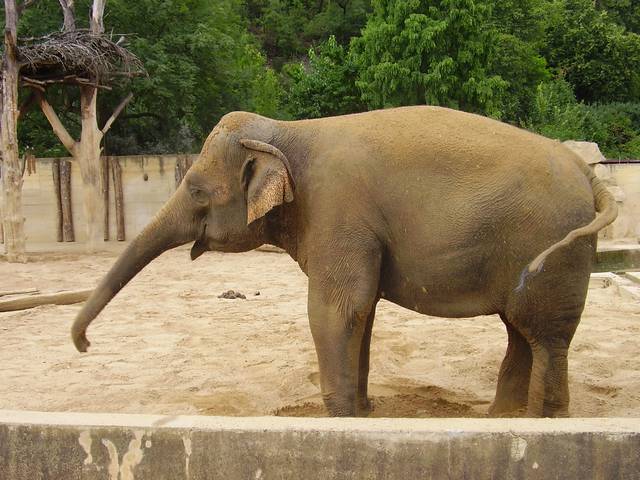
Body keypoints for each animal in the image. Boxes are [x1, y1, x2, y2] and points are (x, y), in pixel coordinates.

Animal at [70, 107, 616, 418]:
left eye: (198, 191)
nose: (84, 345)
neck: (286, 133)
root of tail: (590, 174)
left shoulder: (338, 211)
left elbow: (334, 311)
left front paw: (339, 419)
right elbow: (363, 312)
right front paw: (363, 411)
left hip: (553, 245)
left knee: (543, 335)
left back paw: (539, 424)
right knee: (520, 329)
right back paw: (499, 418)